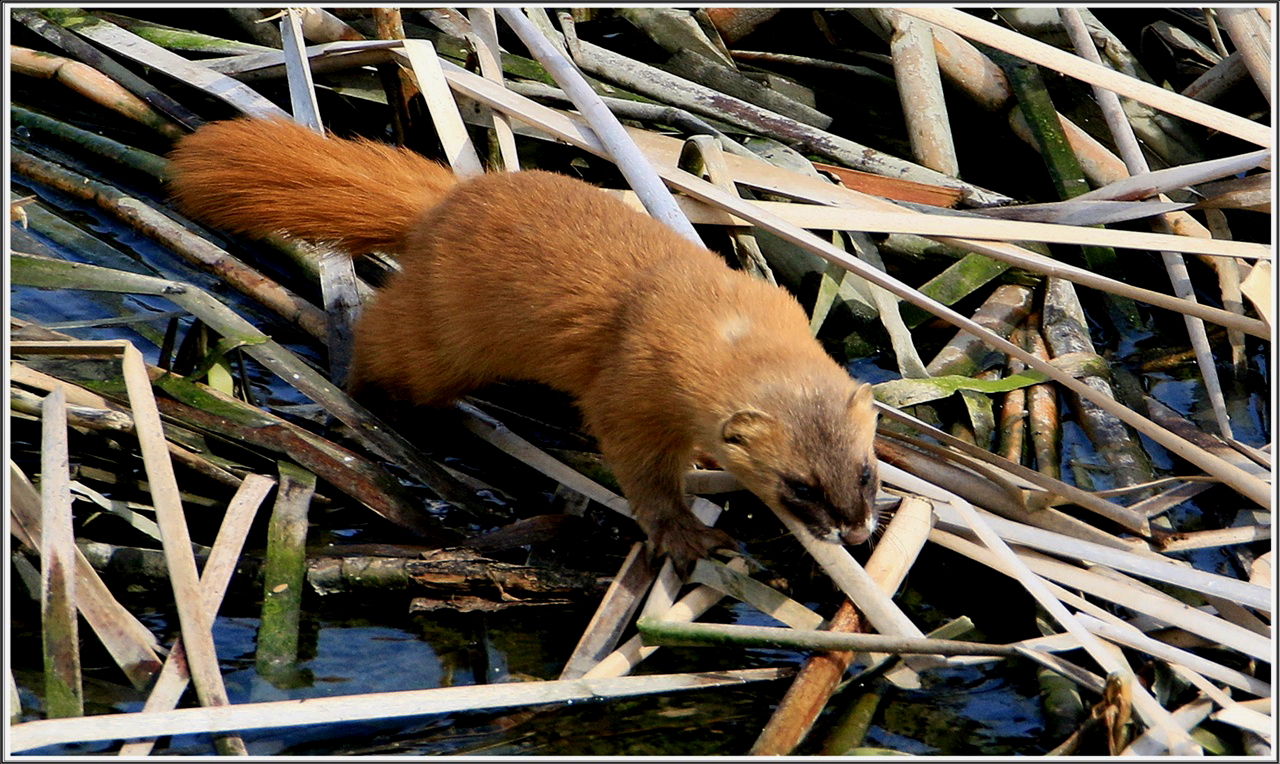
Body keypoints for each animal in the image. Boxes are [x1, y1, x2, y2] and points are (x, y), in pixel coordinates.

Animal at [167, 118, 880, 568]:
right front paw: (686, 538)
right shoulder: (627, 387)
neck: (718, 314)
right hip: (438, 340)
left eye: (867, 472)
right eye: (799, 485)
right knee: (383, 342)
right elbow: (640, 470)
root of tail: (446, 202)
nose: (852, 529)